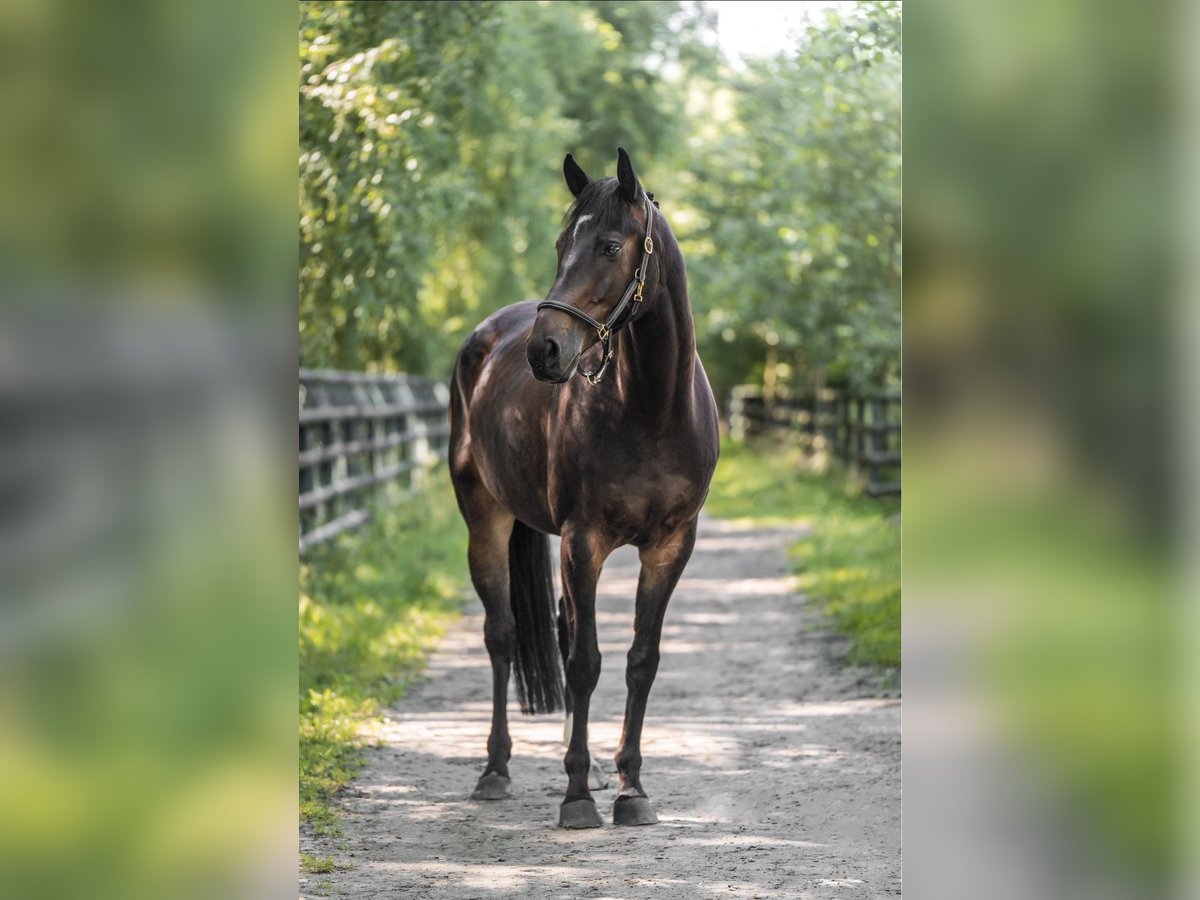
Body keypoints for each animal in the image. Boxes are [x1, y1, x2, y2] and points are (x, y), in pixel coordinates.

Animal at [448, 147, 719, 828]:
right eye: (559, 244)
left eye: (609, 245)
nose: (546, 350)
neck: (651, 410)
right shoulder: (583, 541)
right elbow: (584, 662)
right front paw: (576, 798)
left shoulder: (671, 546)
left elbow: (640, 662)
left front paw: (629, 787)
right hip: (485, 518)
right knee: (503, 636)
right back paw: (496, 770)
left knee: (563, 625)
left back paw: (590, 766)